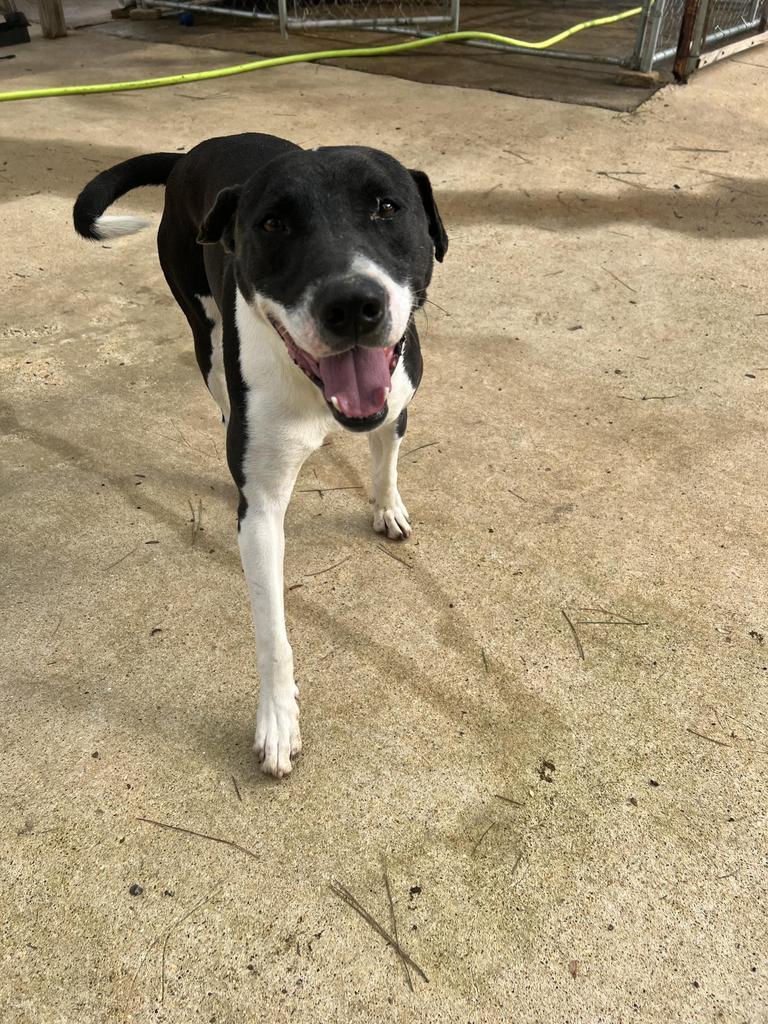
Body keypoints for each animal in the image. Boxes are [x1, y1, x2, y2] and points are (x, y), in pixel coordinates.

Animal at [75, 134, 448, 774]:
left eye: (386, 208)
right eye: (273, 223)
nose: (352, 304)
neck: (317, 391)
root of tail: (191, 152)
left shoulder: (395, 400)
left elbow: (386, 459)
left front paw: (387, 507)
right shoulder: (263, 513)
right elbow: (272, 631)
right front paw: (277, 720)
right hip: (203, 331)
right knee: (220, 382)